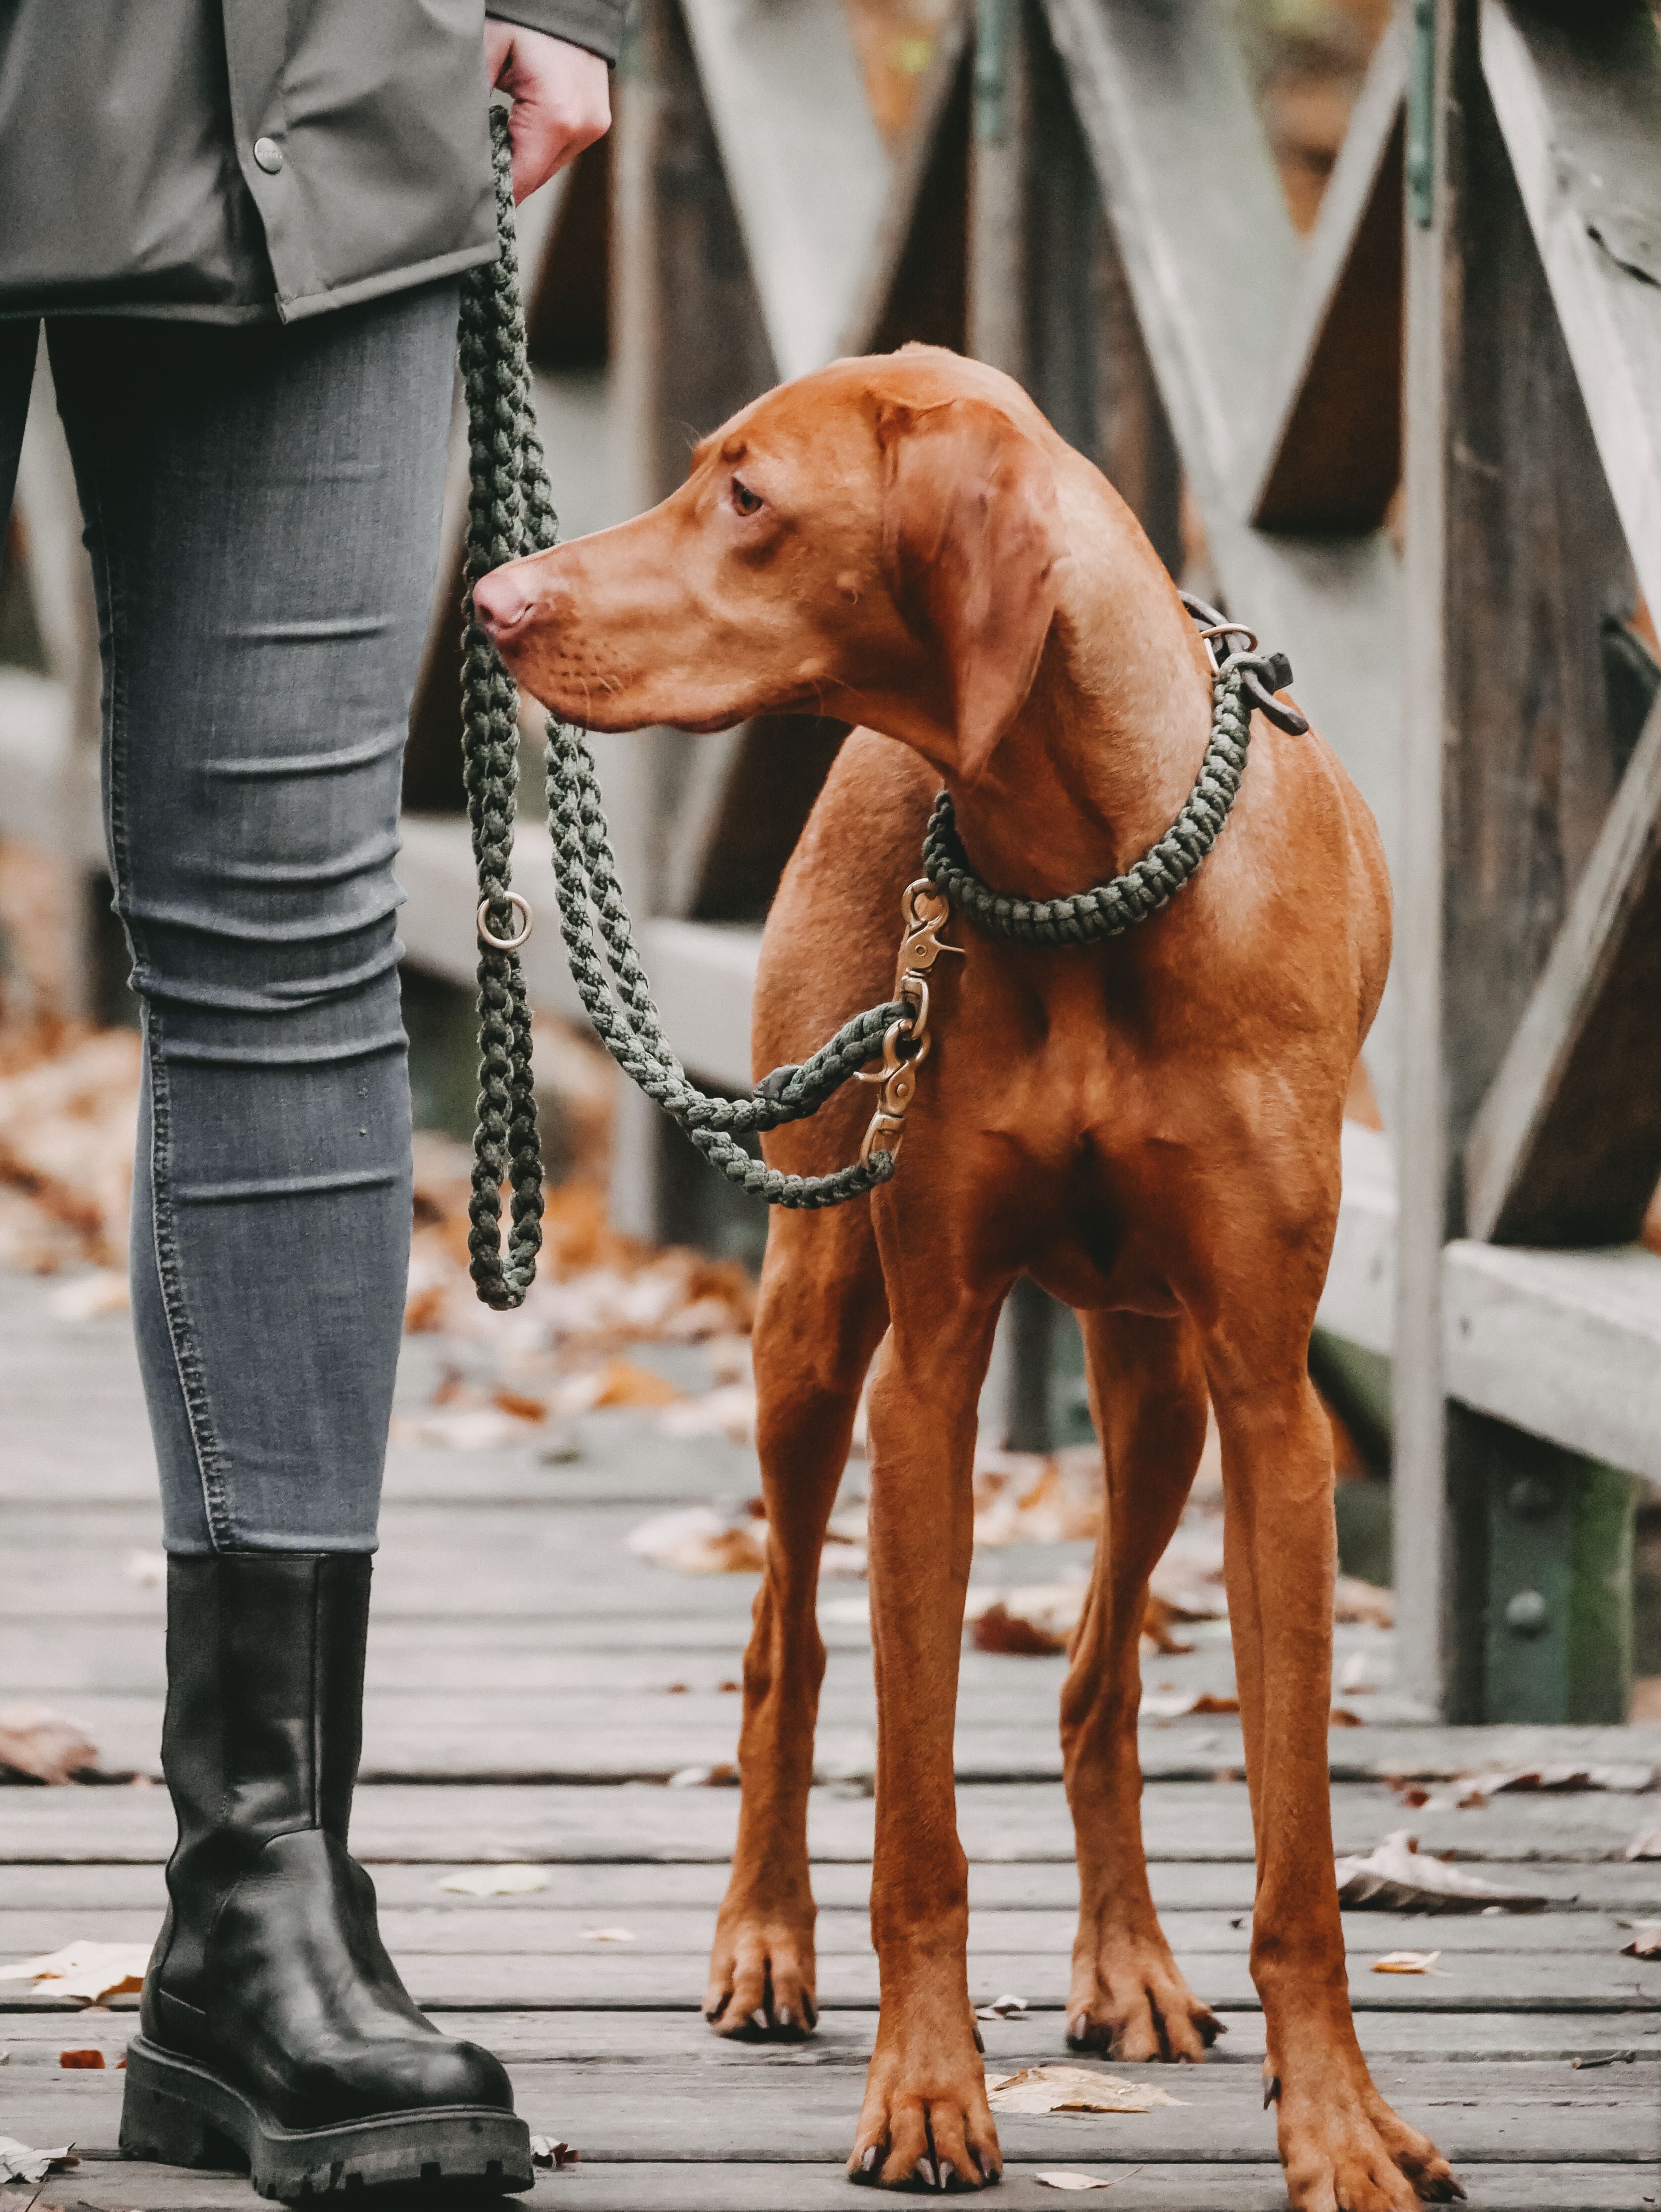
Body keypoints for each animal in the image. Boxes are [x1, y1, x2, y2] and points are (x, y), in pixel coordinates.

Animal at [473, 349, 1459, 2212]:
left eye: (745, 494)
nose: (494, 601)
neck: (1080, 867)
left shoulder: (1270, 1405)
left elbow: (1293, 1852)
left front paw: (1341, 2123)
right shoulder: (924, 1368)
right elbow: (913, 1821)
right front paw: (928, 2093)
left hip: (1152, 1384)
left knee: (1093, 1677)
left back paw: (1128, 1962)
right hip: (809, 1322)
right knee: (782, 1643)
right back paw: (765, 1938)